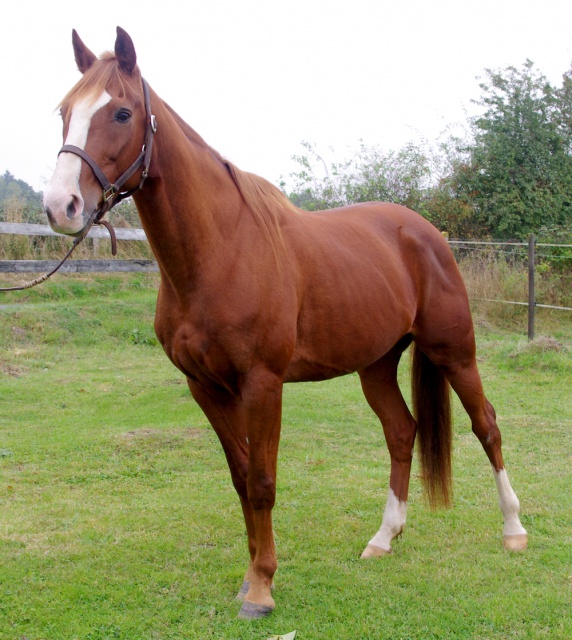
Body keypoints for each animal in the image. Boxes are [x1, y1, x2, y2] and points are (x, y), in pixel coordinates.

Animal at [43, 27, 528, 616]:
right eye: (64, 111)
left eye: (120, 112)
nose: (61, 206)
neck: (220, 252)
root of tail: (426, 232)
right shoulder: (205, 387)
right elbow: (240, 477)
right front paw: (251, 575)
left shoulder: (263, 384)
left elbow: (262, 481)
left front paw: (262, 587)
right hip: (375, 364)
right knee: (401, 432)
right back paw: (383, 538)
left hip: (453, 351)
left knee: (487, 426)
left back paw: (513, 531)